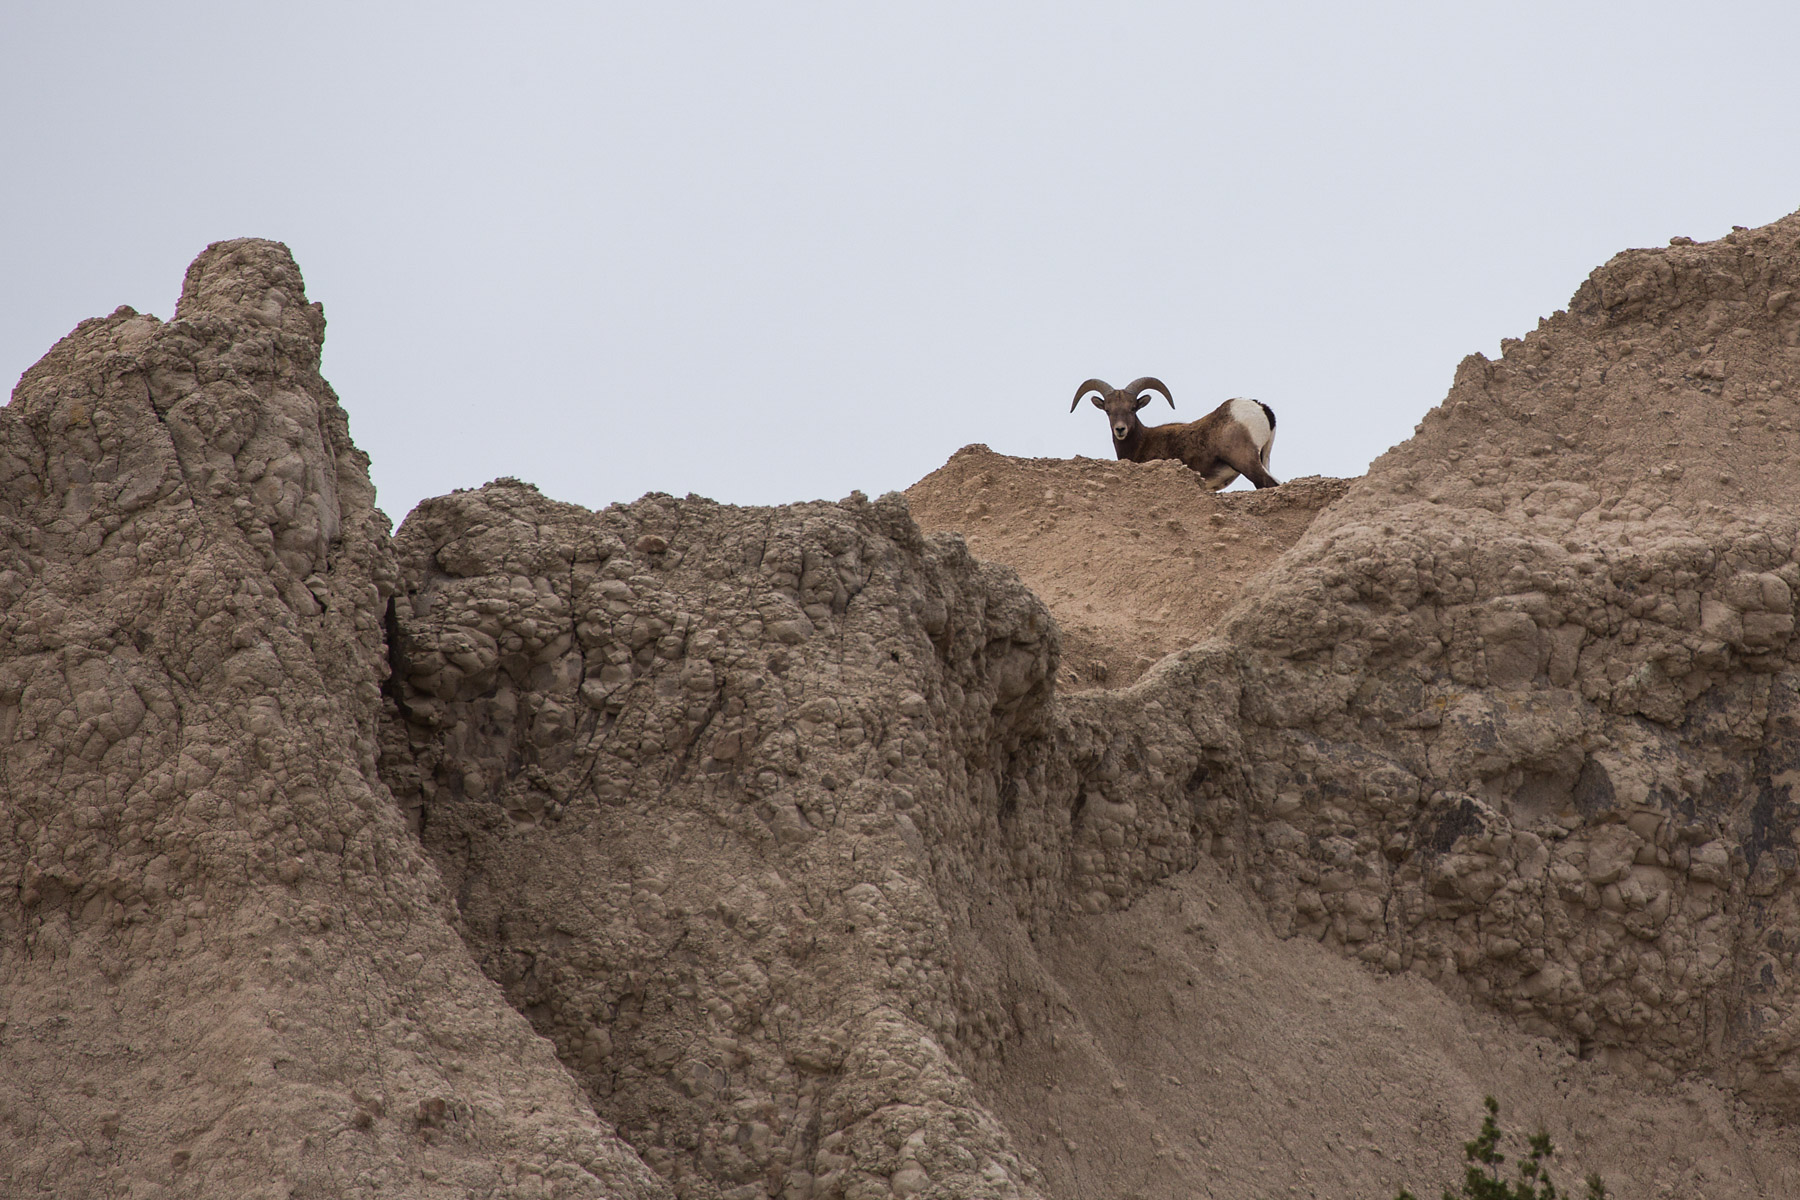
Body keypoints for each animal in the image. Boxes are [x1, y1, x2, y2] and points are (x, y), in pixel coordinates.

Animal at [1065, 376, 1281, 489]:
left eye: (1133, 408)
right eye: (1108, 410)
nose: (1120, 429)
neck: (1142, 442)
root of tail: (1260, 408)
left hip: (1245, 460)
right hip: (1264, 457)